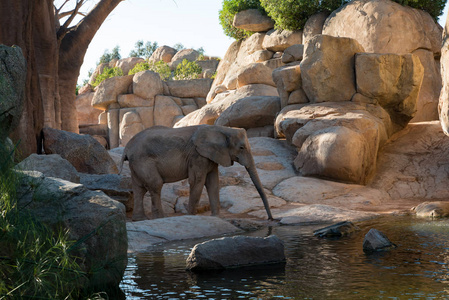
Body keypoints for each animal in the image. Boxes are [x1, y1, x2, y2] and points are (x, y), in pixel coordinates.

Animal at [119, 124, 272, 220]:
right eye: (241, 147)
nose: (271, 219)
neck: (221, 129)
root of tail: (127, 147)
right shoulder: (197, 155)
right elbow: (197, 181)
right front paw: (191, 216)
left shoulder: (210, 156)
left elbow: (213, 183)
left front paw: (216, 217)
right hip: (143, 161)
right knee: (155, 184)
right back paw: (160, 218)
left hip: (137, 163)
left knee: (139, 189)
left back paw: (140, 219)